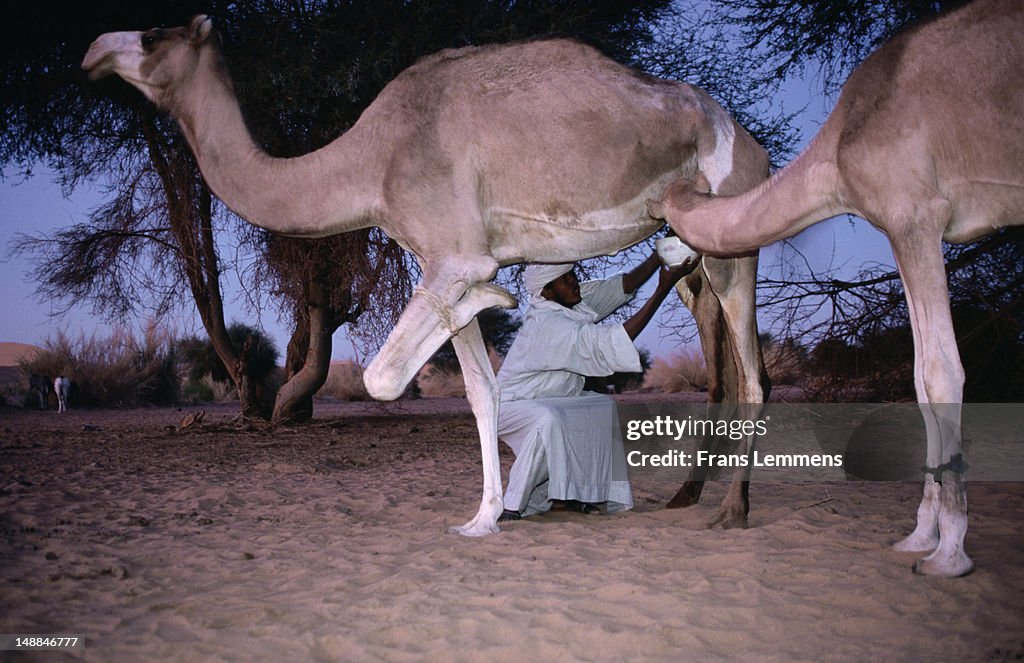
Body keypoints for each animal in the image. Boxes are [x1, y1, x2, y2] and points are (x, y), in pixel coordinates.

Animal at [81, 14, 770, 532]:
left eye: (150, 37)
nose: (92, 51)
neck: (373, 161)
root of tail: (752, 145)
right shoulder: (438, 263)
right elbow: (480, 392)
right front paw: (483, 518)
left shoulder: (455, 256)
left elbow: (383, 378)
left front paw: (498, 296)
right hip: (698, 238)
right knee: (717, 347)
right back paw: (692, 493)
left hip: (733, 223)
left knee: (754, 374)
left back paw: (733, 510)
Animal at [651, 0, 1019, 573]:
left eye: (690, 276)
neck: (842, 150)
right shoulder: (896, 225)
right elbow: (917, 379)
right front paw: (919, 536)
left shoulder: (917, 213)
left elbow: (941, 372)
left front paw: (949, 552)